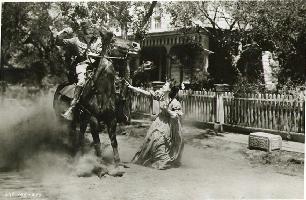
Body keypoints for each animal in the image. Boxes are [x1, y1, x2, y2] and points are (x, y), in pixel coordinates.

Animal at [53, 33, 140, 167]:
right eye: (113, 40)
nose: (136, 45)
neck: (101, 91)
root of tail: (60, 88)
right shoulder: (93, 119)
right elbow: (97, 142)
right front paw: (100, 163)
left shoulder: (111, 119)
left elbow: (114, 141)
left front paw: (118, 163)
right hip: (63, 117)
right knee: (68, 132)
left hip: (82, 120)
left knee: (80, 134)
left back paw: (77, 152)